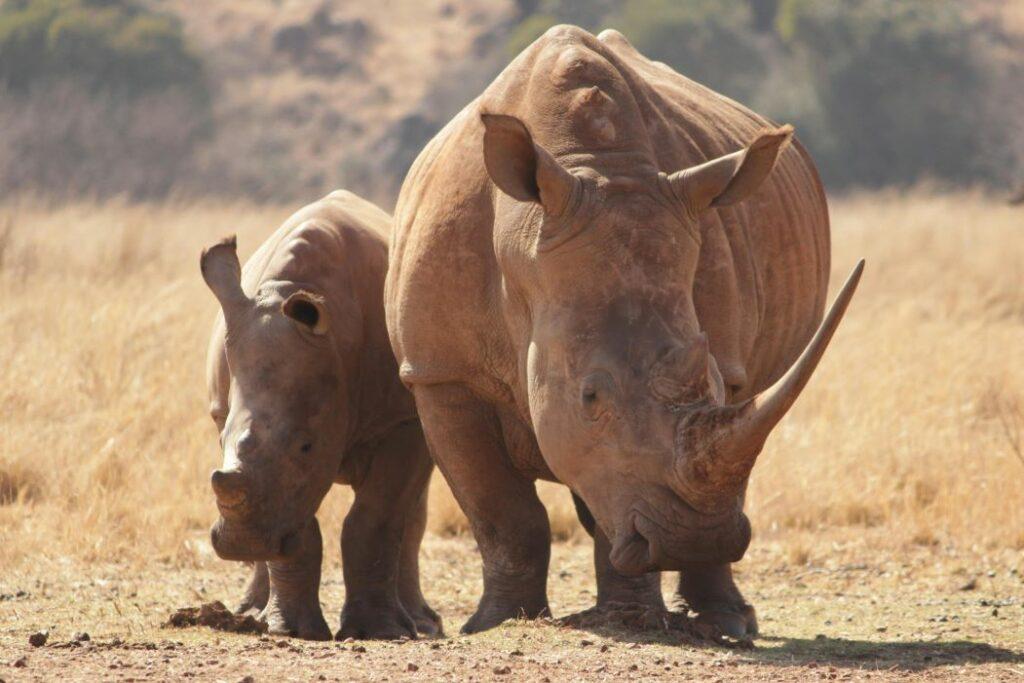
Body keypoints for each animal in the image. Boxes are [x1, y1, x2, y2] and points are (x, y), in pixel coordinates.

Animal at [202, 190, 441, 640]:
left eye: (306, 447)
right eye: (220, 438)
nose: (242, 544)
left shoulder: (402, 420)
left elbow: (376, 517)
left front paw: (379, 632)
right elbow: (297, 520)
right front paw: (290, 631)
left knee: (411, 509)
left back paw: (422, 624)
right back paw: (251, 613)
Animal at [385, 26, 863, 638]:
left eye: (714, 382)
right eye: (590, 396)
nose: (693, 540)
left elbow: (612, 491)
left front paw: (630, 619)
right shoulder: (440, 372)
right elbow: (501, 511)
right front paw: (496, 623)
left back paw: (728, 623)